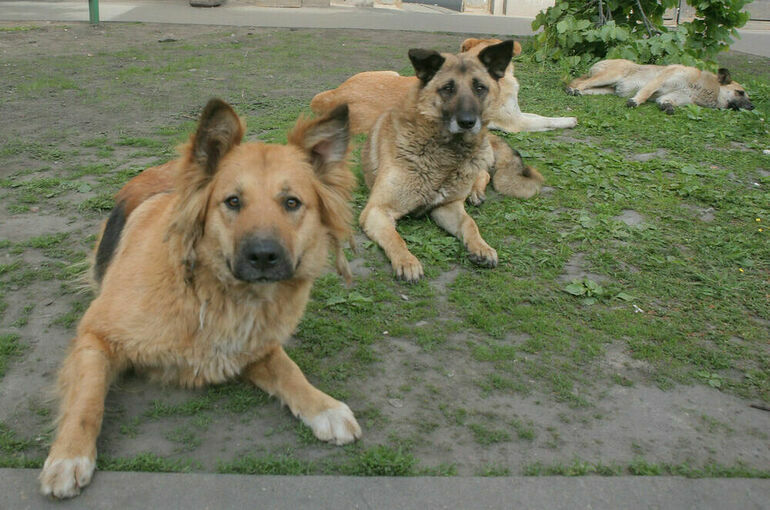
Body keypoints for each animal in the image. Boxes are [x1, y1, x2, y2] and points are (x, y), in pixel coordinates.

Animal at [42, 98, 364, 498]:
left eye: (292, 202)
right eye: (233, 201)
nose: (263, 256)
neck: (216, 294)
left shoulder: (255, 348)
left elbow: (289, 371)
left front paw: (324, 407)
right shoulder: (95, 334)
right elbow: (87, 398)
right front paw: (69, 455)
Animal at [308, 38, 572, 135]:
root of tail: (332, 95)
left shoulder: (516, 114)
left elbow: (537, 114)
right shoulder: (515, 122)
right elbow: (545, 120)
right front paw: (569, 120)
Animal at [358, 40, 540, 282]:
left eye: (479, 88)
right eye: (447, 88)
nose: (467, 122)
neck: (445, 153)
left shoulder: (448, 206)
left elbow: (470, 224)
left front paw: (481, 247)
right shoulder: (377, 210)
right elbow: (395, 238)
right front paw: (406, 261)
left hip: (477, 160)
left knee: (483, 173)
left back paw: (475, 193)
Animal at [564, 59, 752, 114]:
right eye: (740, 92)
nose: (753, 106)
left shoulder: (676, 96)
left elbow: (666, 100)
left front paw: (667, 106)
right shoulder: (661, 79)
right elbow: (646, 92)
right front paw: (635, 101)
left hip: (606, 89)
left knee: (585, 89)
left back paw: (577, 92)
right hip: (610, 76)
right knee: (580, 83)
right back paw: (572, 89)